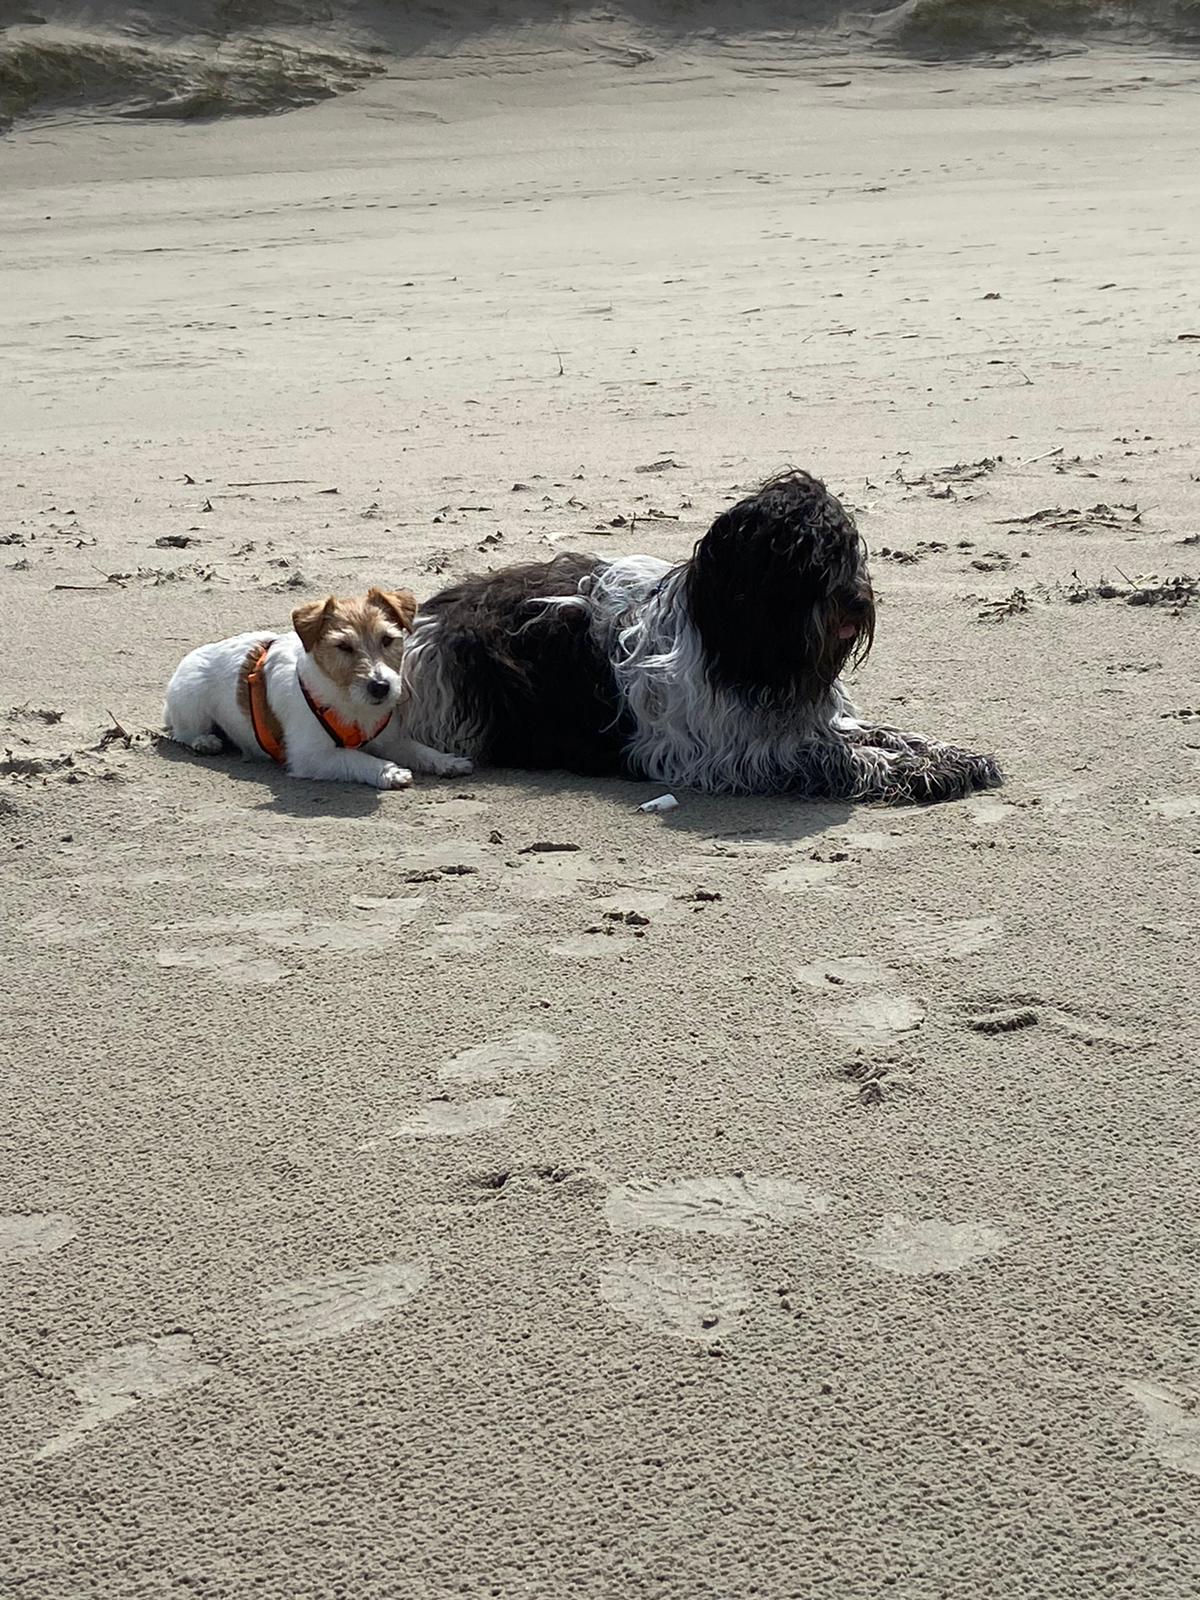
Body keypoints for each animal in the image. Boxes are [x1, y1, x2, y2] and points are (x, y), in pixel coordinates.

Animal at [162, 585, 473, 790]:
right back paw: (204, 741)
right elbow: (357, 758)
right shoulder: (313, 756)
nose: (380, 687)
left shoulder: (390, 740)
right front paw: (389, 772)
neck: (349, 702)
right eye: (343, 646)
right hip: (191, 705)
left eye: (387, 639)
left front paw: (447, 761)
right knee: (182, 732)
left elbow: (418, 750)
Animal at [404, 470, 1004, 800]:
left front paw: (951, 754)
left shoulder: (811, 719)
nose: (856, 600)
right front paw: (923, 771)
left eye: (847, 548)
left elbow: (886, 733)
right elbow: (845, 756)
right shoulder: (726, 751)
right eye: (805, 557)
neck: (749, 646)